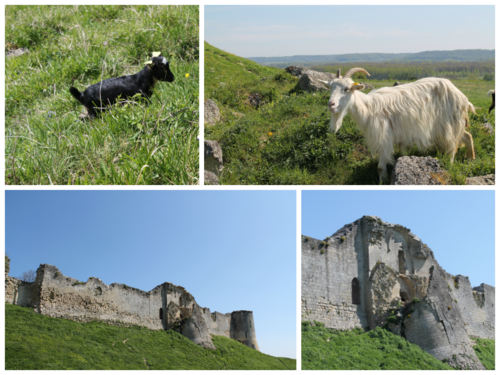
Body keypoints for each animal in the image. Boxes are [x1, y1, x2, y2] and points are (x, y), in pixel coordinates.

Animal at [320, 69, 476, 185]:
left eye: (347, 89)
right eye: (330, 88)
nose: (331, 104)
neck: (368, 108)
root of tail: (462, 97)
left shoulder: (384, 138)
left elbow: (380, 167)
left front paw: (382, 182)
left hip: (449, 124)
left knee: (452, 145)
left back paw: (450, 164)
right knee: (467, 136)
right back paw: (471, 159)